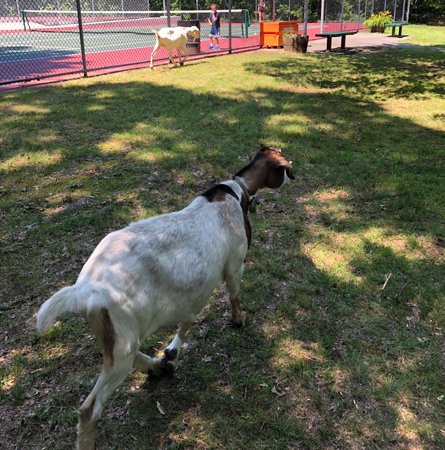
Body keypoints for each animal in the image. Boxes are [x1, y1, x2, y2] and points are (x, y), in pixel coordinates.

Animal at [36, 146, 294, 448]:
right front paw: (238, 320)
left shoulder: (193, 292)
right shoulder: (234, 265)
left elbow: (188, 319)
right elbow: (234, 295)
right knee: (89, 409)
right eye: (284, 168)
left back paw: (158, 367)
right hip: (123, 340)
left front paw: (172, 350)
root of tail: (88, 287)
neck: (234, 191)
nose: (290, 178)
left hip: (119, 338)